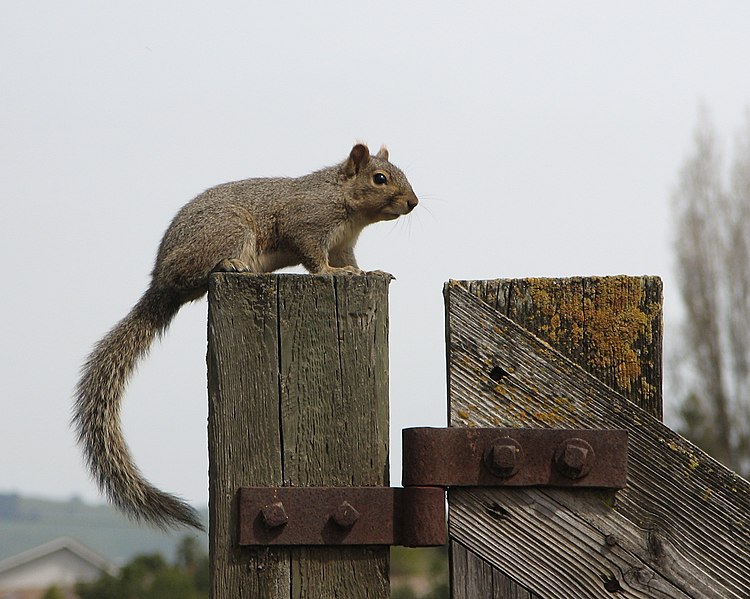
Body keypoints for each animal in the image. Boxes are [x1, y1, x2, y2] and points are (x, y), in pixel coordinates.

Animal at [73, 144, 420, 528]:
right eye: (380, 178)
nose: (413, 202)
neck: (344, 201)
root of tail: (159, 281)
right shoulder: (305, 223)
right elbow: (314, 257)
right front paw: (333, 272)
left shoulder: (344, 243)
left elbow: (352, 262)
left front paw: (368, 272)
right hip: (228, 230)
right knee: (195, 272)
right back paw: (229, 265)